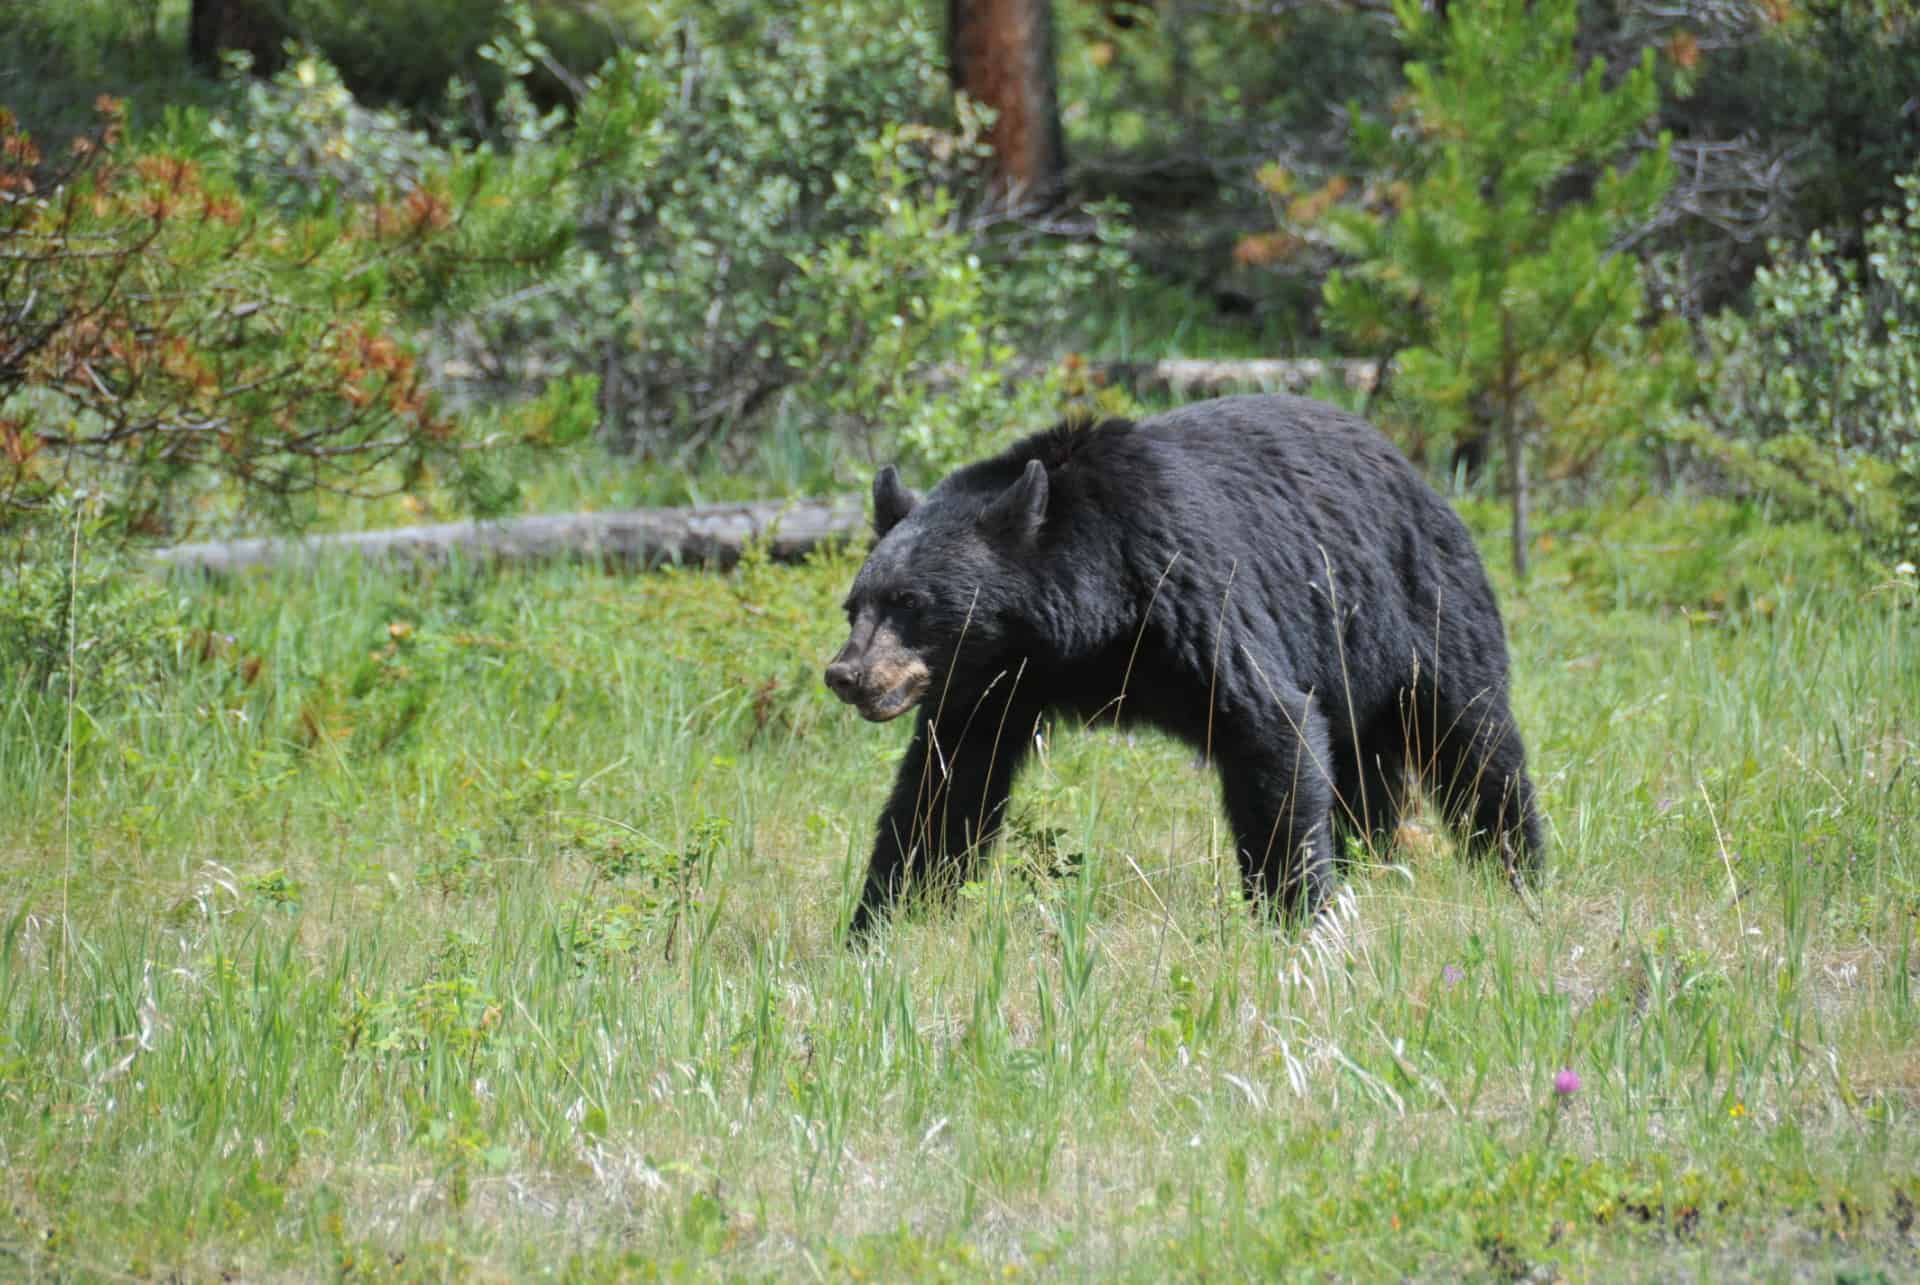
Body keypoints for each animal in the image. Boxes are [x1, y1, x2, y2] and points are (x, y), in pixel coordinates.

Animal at [825, 387, 1543, 933]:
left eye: (911, 602)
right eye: (854, 605)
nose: (845, 675)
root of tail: (1413, 469)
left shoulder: (1191, 596)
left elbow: (1271, 727)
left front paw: (1294, 913)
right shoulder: (993, 685)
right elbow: (945, 788)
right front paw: (882, 921)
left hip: (1420, 605)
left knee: (1474, 740)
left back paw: (1519, 872)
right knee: (1367, 769)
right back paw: (1373, 857)